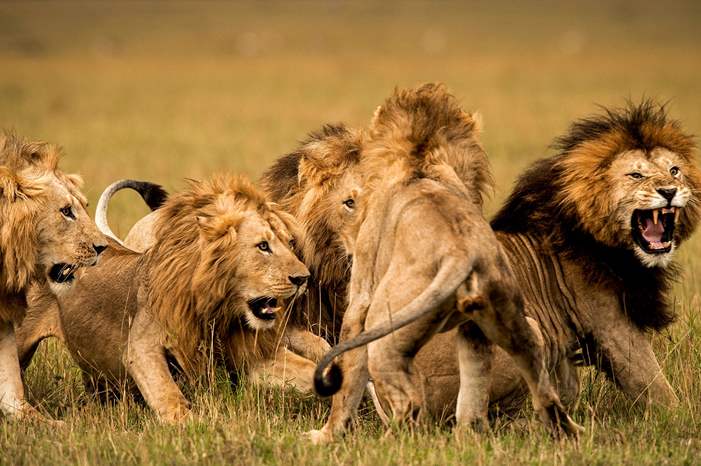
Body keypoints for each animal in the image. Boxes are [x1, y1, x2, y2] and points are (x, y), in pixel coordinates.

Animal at [15, 174, 313, 422]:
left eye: (290, 243)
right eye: (263, 246)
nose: (304, 278)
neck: (218, 310)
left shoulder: (249, 355)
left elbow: (307, 370)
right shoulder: (142, 348)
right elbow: (170, 397)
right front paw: (196, 426)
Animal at [305, 84, 582, 443]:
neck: (420, 159)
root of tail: (460, 253)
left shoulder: (360, 297)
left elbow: (347, 377)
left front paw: (327, 435)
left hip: (384, 330)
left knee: (408, 402)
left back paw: (388, 443)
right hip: (508, 323)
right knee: (532, 387)